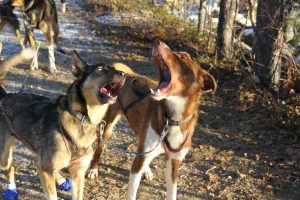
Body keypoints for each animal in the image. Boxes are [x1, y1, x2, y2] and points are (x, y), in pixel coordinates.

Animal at [0, 49, 125, 199]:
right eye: (100, 69)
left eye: (114, 68)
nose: (123, 74)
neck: (83, 119)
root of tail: (4, 96)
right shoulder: (45, 169)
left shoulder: (78, 172)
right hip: (5, 156)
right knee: (10, 168)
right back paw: (11, 189)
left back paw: (59, 179)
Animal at [86, 39, 216, 199]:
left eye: (183, 58)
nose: (158, 41)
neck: (171, 119)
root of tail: (129, 74)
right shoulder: (136, 165)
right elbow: (132, 193)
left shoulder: (174, 163)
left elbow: (172, 193)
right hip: (108, 126)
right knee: (100, 146)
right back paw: (94, 169)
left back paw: (146, 169)